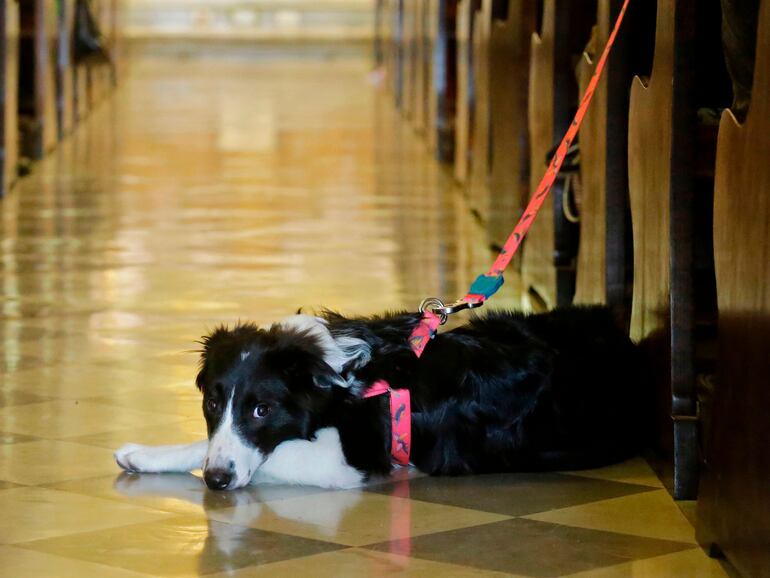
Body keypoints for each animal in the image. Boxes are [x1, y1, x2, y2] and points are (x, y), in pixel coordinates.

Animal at [117, 304, 648, 488]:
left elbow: (268, 453)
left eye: (262, 409)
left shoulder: (347, 462)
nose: (217, 483)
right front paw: (146, 455)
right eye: (211, 404)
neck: (343, 380)